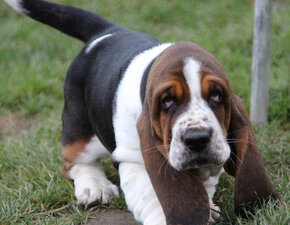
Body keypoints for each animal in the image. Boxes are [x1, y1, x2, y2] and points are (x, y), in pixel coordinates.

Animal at [6, 0, 284, 224]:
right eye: (167, 101)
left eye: (216, 95)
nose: (197, 139)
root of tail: (106, 32)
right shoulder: (135, 160)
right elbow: (155, 197)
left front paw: (206, 206)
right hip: (81, 129)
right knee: (75, 161)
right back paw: (94, 187)